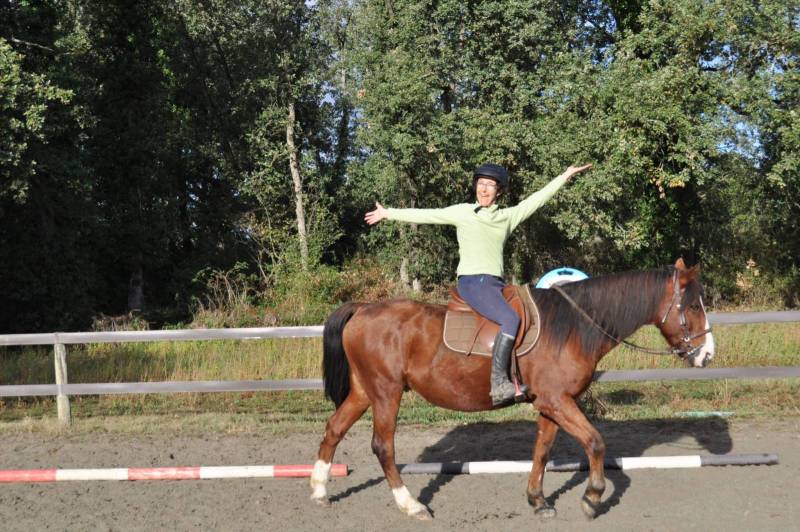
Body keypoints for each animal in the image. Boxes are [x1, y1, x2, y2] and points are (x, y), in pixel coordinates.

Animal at [309, 258, 715, 520]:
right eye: (693, 306)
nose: (707, 354)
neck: (571, 327)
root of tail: (363, 309)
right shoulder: (559, 401)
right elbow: (596, 442)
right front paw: (592, 497)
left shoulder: (550, 403)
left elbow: (542, 451)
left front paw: (538, 500)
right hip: (386, 393)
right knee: (383, 447)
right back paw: (411, 505)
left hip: (364, 392)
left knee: (333, 431)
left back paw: (319, 490)